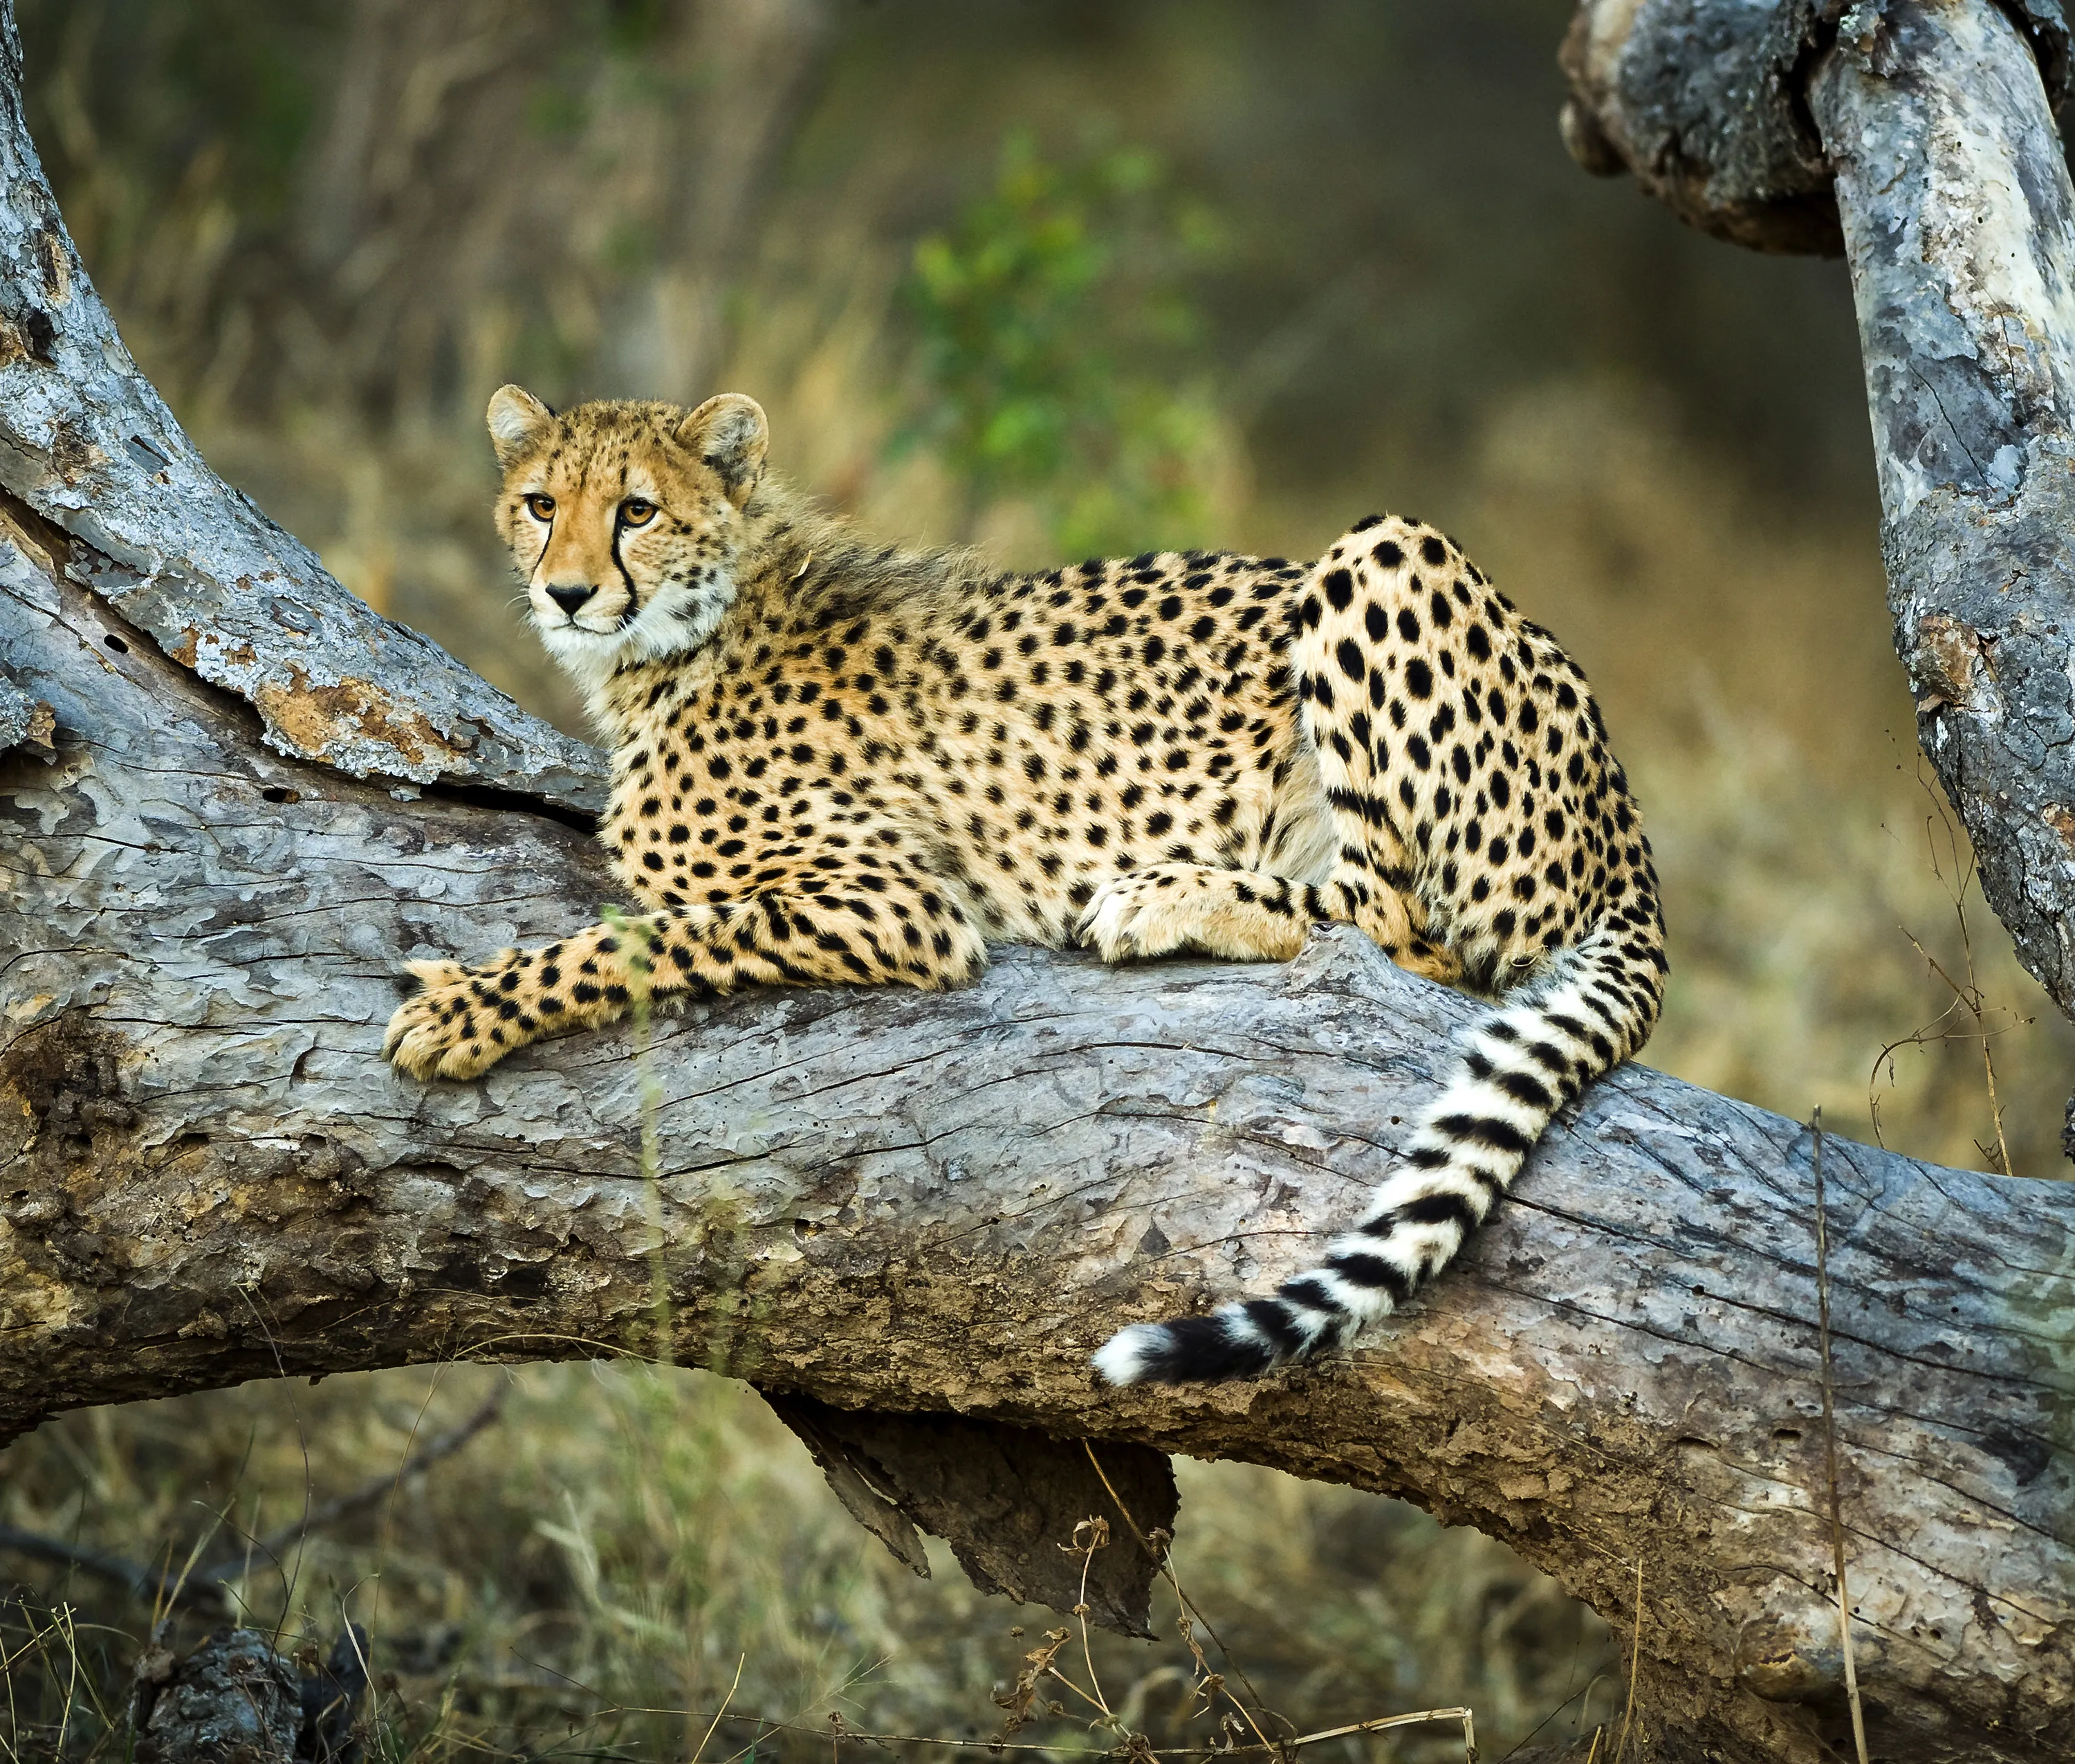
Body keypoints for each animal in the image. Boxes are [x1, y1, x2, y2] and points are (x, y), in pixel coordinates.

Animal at [382, 382, 1660, 1378]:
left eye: (636, 511)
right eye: (542, 506)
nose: (566, 593)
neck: (695, 634)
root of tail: (1626, 817)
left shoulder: (899, 904)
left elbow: (634, 938)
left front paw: (463, 1010)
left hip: (1385, 550)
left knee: (1407, 938)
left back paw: (1168, 894)